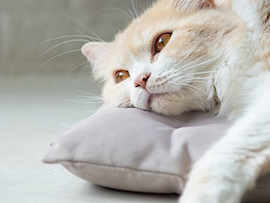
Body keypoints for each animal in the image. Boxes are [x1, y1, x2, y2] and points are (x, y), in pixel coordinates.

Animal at [80, 0, 270, 203]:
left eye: (162, 42)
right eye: (121, 76)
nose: (140, 81)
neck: (248, 30)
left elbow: (228, 152)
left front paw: (201, 196)